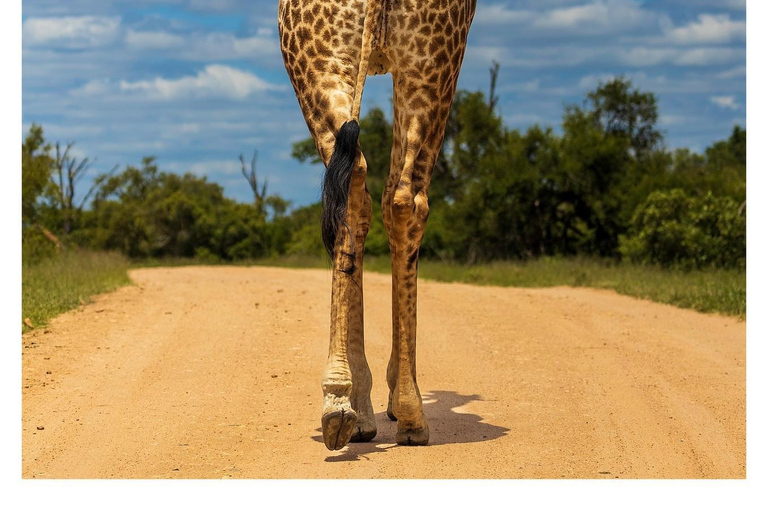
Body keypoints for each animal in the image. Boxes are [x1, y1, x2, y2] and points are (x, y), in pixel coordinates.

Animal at [280, 0, 476, 450]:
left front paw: (364, 409)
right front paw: (382, 404)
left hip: (327, 63)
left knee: (364, 186)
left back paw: (343, 407)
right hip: (431, 67)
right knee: (403, 198)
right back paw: (405, 415)